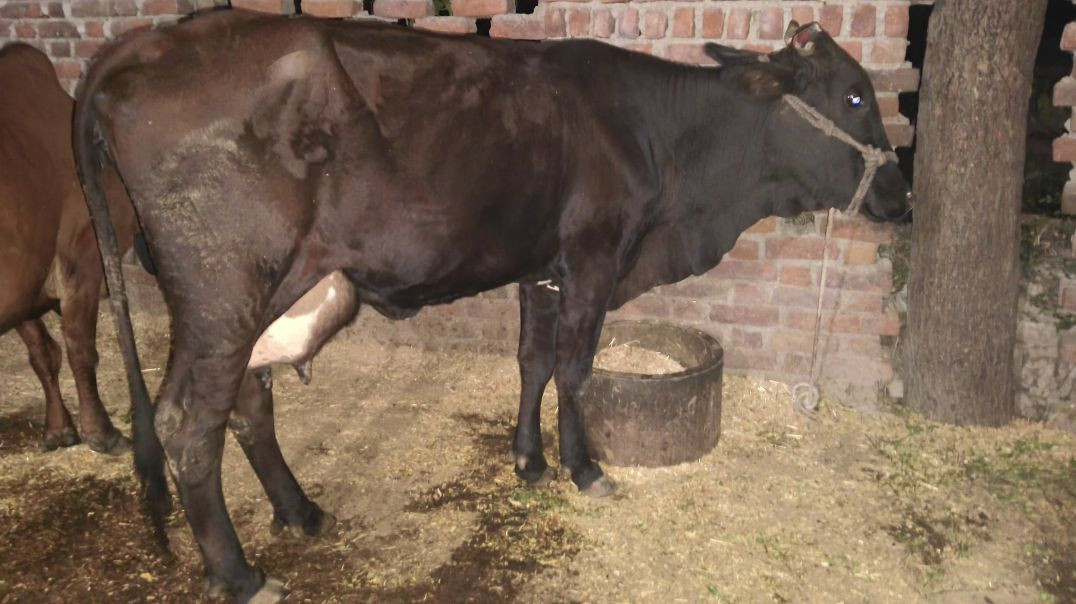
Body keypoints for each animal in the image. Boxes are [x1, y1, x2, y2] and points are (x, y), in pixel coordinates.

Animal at [0, 43, 139, 454]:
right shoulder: (81, 255)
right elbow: (80, 348)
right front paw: (102, 432)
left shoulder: (26, 275)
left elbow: (43, 354)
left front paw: (59, 430)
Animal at [75, 11, 911, 601]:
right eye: (855, 95)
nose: (902, 197)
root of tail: (148, 44)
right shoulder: (595, 257)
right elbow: (574, 369)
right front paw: (584, 468)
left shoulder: (540, 269)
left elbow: (532, 361)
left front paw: (529, 460)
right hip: (224, 289)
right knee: (190, 422)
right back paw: (240, 575)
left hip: (257, 293)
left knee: (247, 402)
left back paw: (300, 513)